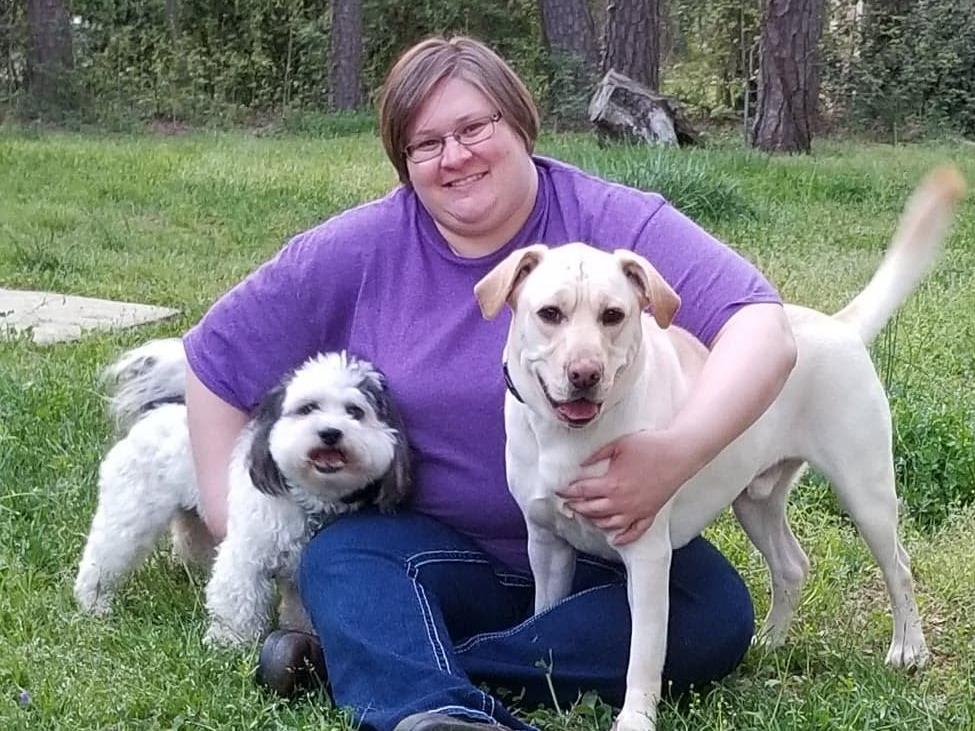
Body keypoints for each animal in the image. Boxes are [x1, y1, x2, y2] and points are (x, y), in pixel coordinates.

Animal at [74, 338, 410, 648]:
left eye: (355, 412)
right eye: (308, 408)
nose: (330, 433)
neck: (306, 500)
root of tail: (158, 412)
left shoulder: (299, 575)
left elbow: (300, 610)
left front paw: (303, 633)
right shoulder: (246, 555)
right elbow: (236, 599)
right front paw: (229, 642)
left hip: (191, 515)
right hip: (130, 513)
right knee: (104, 555)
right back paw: (94, 603)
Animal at [476, 169, 964, 731]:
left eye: (613, 315)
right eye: (550, 313)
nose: (585, 375)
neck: (569, 439)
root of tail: (839, 325)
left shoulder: (648, 557)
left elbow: (643, 655)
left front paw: (635, 718)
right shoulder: (546, 546)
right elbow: (542, 618)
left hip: (866, 495)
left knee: (899, 568)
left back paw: (908, 649)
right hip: (755, 501)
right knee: (792, 565)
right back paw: (770, 642)